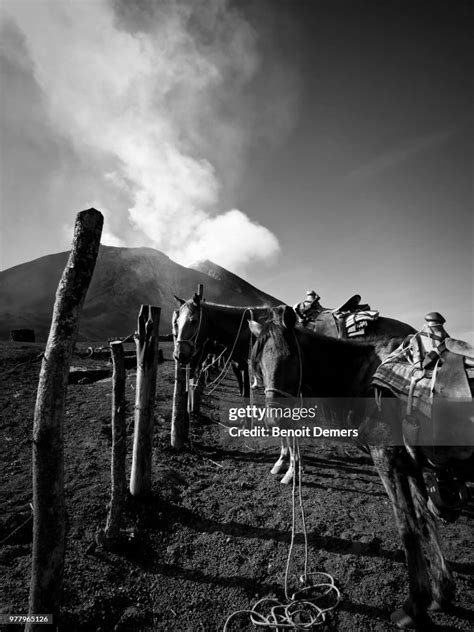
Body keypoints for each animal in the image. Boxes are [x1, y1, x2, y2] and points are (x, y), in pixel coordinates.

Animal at [250, 306, 458, 628]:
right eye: (258, 362)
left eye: (290, 357)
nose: (273, 418)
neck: (366, 381)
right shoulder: (410, 463)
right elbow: (424, 520)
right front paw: (440, 593)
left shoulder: (387, 459)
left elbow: (407, 527)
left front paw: (413, 607)